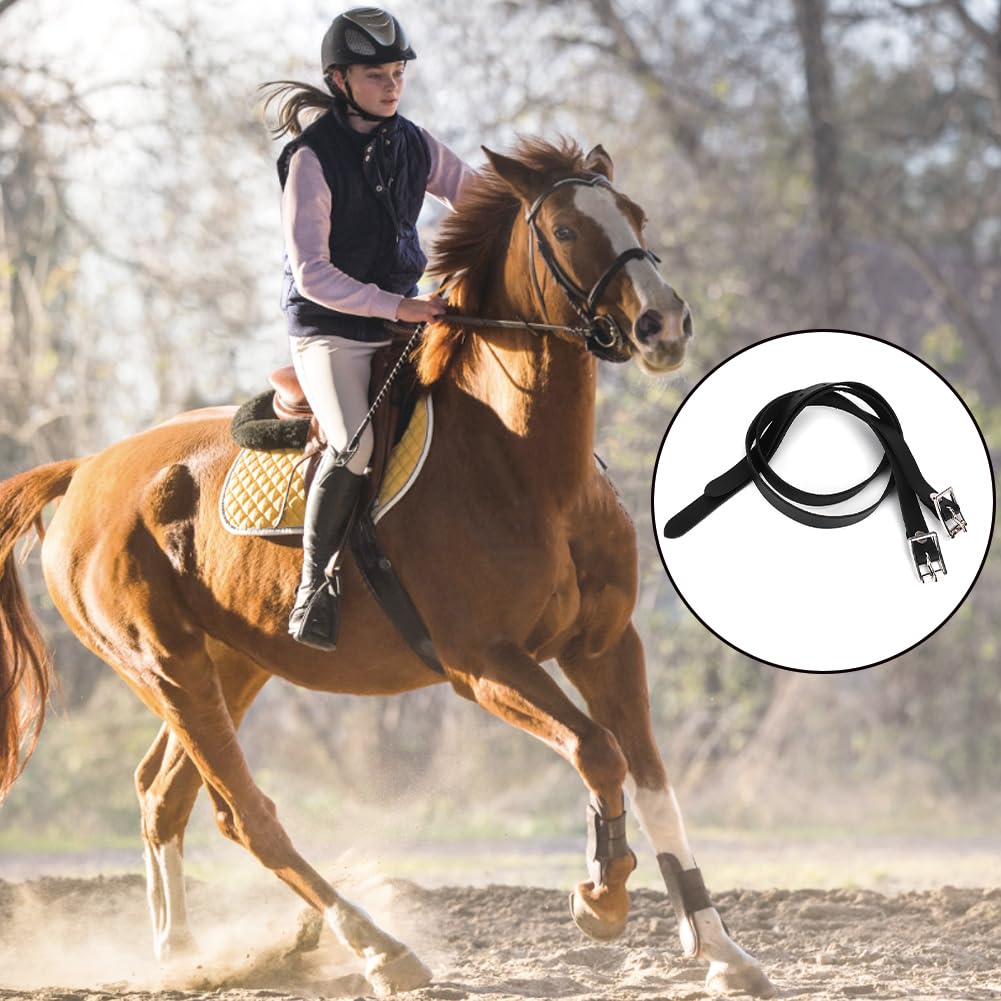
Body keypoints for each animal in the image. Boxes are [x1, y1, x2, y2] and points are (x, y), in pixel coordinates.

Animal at [0, 137, 774, 998]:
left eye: (633, 215)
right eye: (568, 230)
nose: (662, 323)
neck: (528, 467)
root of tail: (83, 470)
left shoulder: (604, 646)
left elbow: (652, 778)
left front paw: (721, 949)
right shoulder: (484, 664)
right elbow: (595, 750)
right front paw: (601, 896)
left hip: (229, 664)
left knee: (162, 796)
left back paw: (184, 956)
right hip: (164, 664)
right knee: (244, 814)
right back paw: (378, 947)